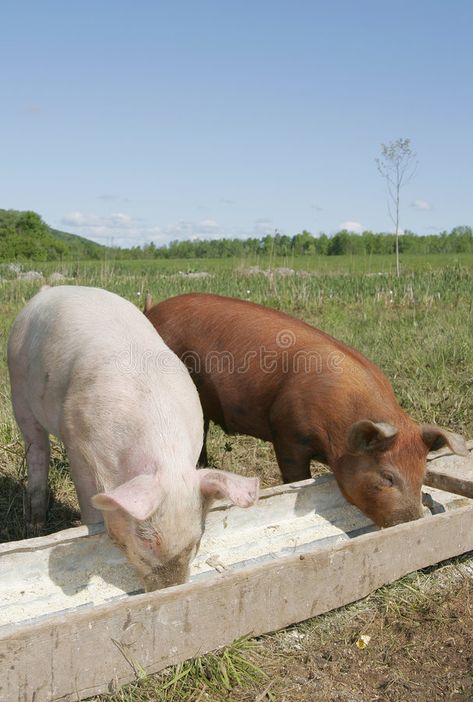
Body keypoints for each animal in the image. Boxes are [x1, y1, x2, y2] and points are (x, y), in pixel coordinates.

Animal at [7, 286, 258, 588]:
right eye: (146, 538)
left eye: (196, 540)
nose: (169, 588)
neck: (165, 453)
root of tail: (49, 290)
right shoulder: (76, 442)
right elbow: (90, 503)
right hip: (17, 379)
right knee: (36, 446)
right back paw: (35, 523)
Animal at [145, 292, 468, 528]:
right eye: (388, 476)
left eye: (422, 473)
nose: (412, 521)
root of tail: (151, 310)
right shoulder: (287, 434)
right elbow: (295, 477)